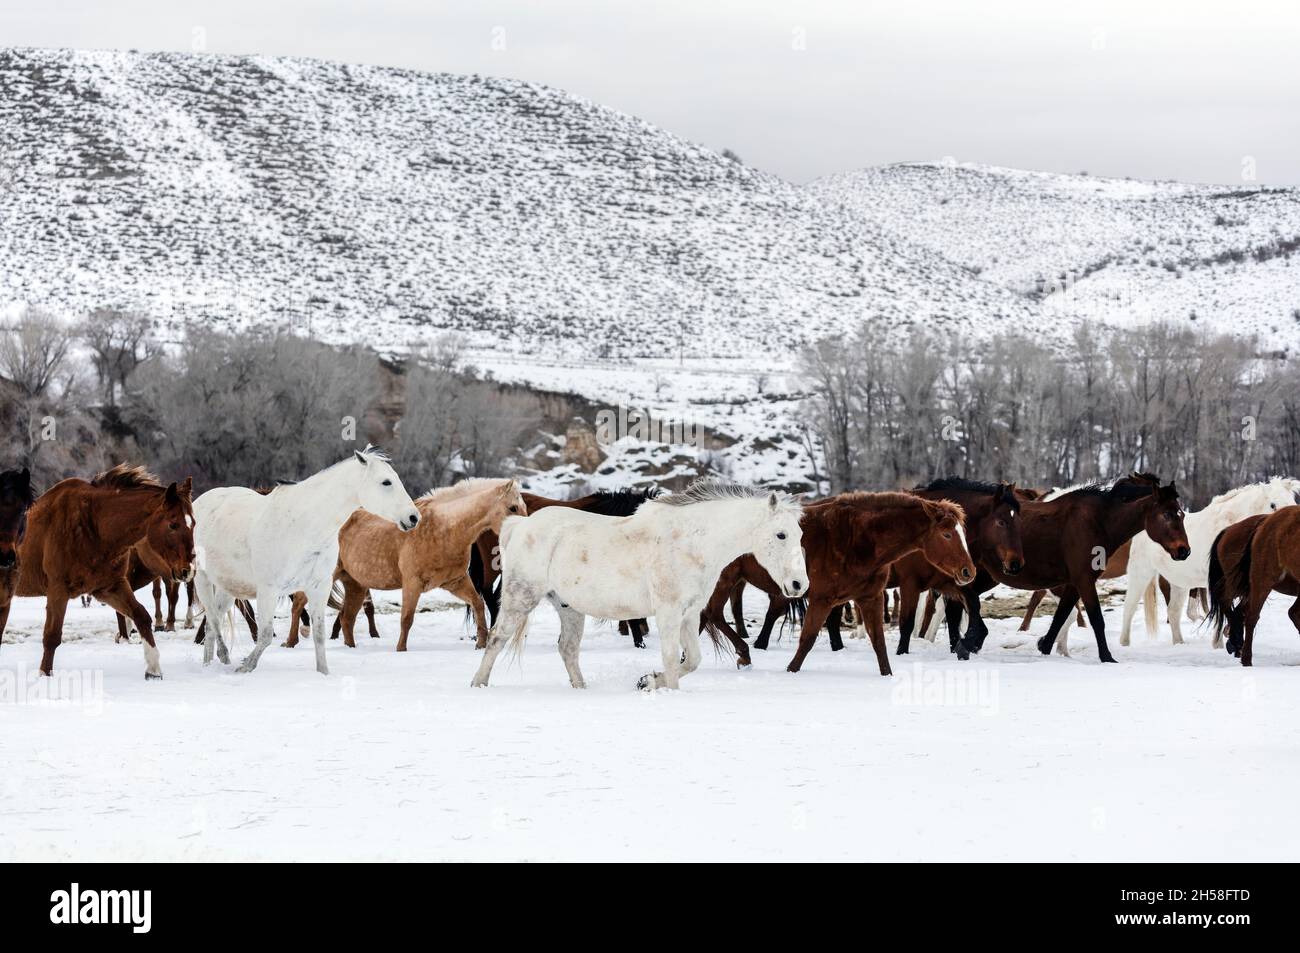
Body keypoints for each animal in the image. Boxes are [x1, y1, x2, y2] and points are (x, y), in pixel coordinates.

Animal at [2, 465, 195, 678]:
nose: (187, 570)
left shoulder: (110, 588)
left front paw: (153, 670)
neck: (92, 527)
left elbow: (141, 616)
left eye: (193, 523)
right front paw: (45, 675)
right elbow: (52, 636)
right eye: (173, 524)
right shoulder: (58, 590)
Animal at [193, 447, 419, 676]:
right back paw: (222, 657)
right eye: (386, 482)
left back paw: (208, 664)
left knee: (211, 625)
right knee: (213, 621)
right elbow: (265, 635)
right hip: (202, 580)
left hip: (228, 587)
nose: (414, 517)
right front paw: (246, 666)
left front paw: (323, 672)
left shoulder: (319, 587)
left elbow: (319, 634)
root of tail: (198, 502)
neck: (304, 526)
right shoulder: (268, 590)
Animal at [291, 478, 526, 652]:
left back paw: (350, 647)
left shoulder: (456, 582)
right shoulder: (412, 584)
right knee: (299, 604)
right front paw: (401, 649)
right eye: (512, 507)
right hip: (327, 578)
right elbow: (407, 618)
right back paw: (291, 642)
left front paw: (481, 643)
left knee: (347, 618)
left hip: (356, 585)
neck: (443, 529)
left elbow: (478, 604)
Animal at [472, 480, 807, 691]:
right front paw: (667, 689)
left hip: (568, 607)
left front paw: (648, 681)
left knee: (567, 648)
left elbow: (692, 660)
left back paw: (581, 688)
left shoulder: (689, 613)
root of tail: (519, 526)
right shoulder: (669, 611)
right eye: (780, 535)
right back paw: (478, 684)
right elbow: (671, 657)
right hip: (521, 596)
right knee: (496, 638)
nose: (798, 584)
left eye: (800, 534)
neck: (691, 541)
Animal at [950, 473, 1189, 663]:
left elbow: (1061, 615)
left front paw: (1045, 645)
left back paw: (960, 644)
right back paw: (967, 643)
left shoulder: (1075, 583)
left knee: (959, 602)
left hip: (984, 577)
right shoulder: (1084, 581)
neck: (1098, 520)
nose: (1184, 551)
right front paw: (1107, 657)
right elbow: (1096, 619)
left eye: (1182, 514)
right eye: (1167, 515)